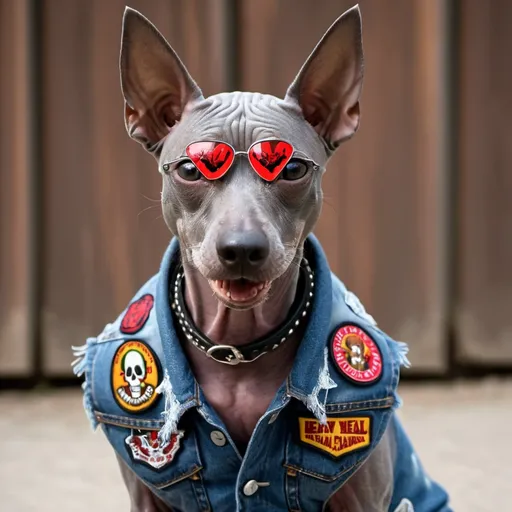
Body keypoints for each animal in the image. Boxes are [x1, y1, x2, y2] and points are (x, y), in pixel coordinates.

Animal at [73, 5, 452, 512]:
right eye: (190, 169)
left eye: (292, 169)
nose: (241, 249)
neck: (240, 350)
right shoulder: (147, 497)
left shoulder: (363, 492)